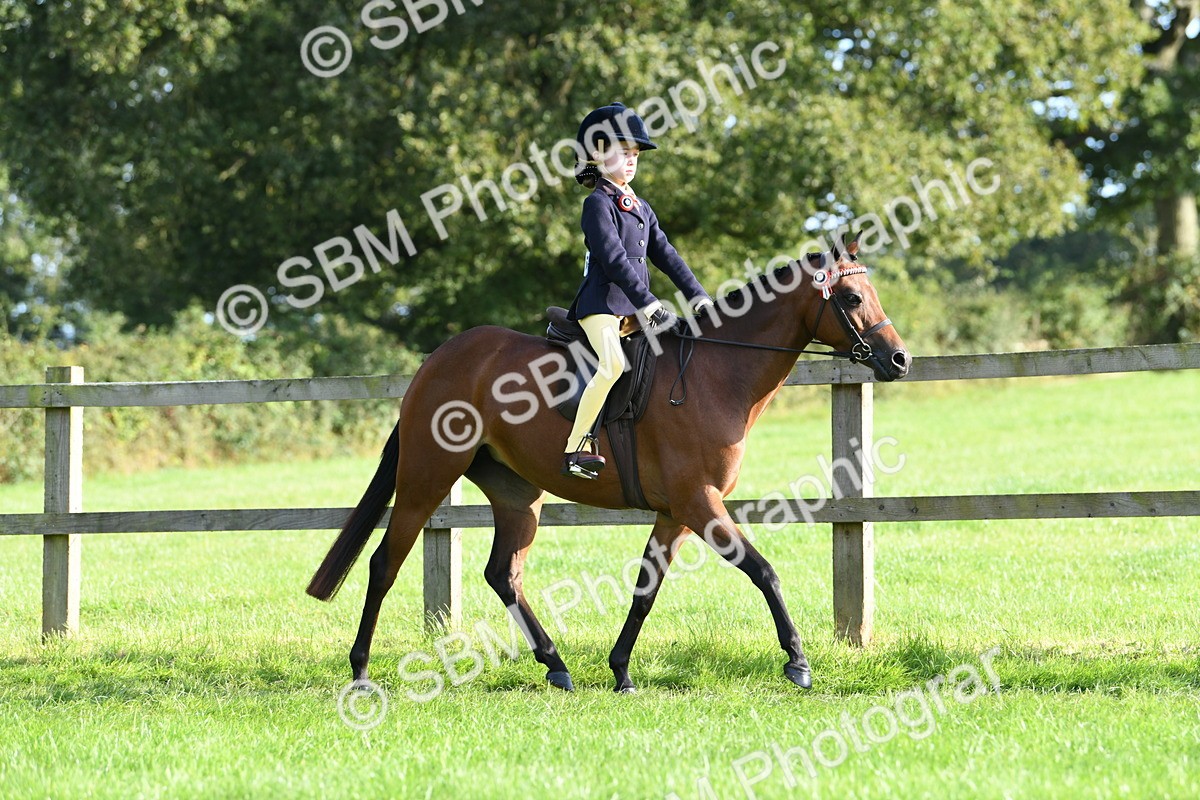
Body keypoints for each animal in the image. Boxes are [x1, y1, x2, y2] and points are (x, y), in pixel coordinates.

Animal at [307, 236, 910, 693]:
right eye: (851, 296)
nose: (899, 360)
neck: (716, 372)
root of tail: (436, 361)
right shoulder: (700, 503)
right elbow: (763, 571)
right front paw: (798, 662)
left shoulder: (676, 513)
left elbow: (646, 589)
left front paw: (621, 671)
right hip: (425, 478)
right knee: (384, 564)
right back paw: (360, 672)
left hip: (517, 495)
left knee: (503, 573)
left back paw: (556, 665)